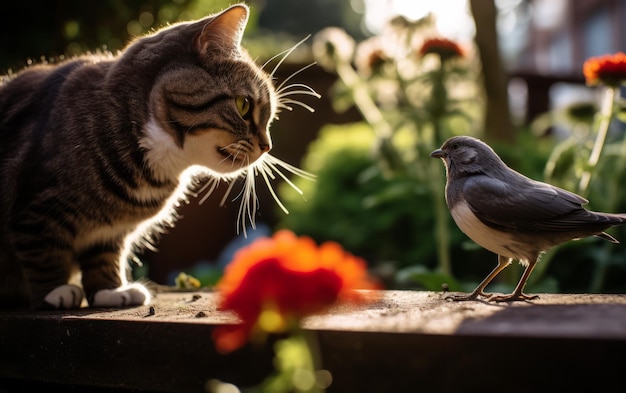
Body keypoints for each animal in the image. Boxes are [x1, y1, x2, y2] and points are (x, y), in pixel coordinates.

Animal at [0, 3, 314, 310]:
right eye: (243, 104)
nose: (267, 146)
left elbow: (105, 257)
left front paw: (110, 291)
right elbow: (41, 245)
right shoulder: (38, 204)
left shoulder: (109, 233)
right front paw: (54, 292)